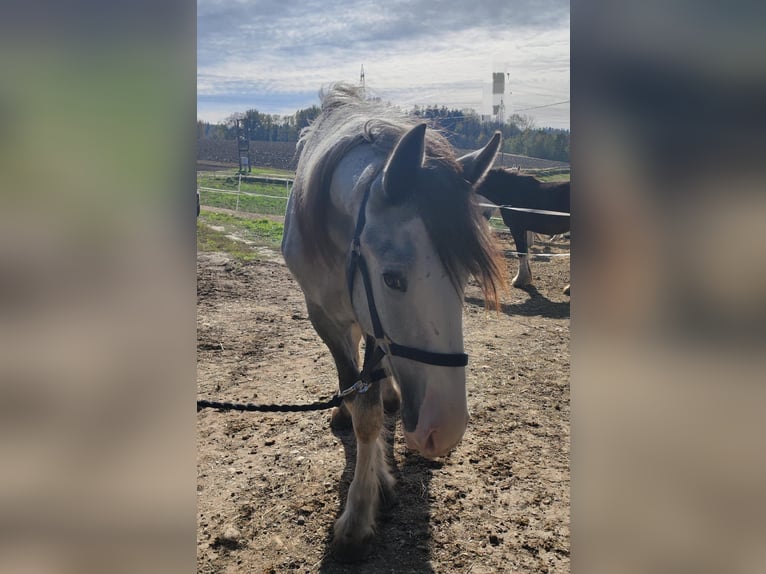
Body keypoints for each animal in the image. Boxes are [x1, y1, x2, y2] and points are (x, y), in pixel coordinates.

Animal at [281, 83, 505, 561]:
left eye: (466, 278)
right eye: (392, 278)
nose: (445, 429)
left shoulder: (375, 324)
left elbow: (372, 392)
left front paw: (369, 492)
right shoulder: (322, 314)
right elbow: (360, 405)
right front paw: (361, 510)